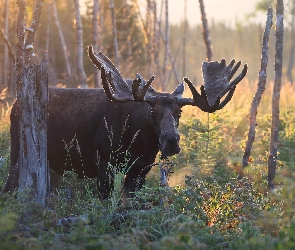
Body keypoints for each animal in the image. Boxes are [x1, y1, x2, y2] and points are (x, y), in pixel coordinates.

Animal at [2, 46, 249, 199]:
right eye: (152, 111)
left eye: (179, 111)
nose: (171, 141)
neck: (140, 143)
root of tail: (14, 105)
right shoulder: (105, 162)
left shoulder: (140, 170)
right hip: (17, 153)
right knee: (9, 186)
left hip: (54, 166)